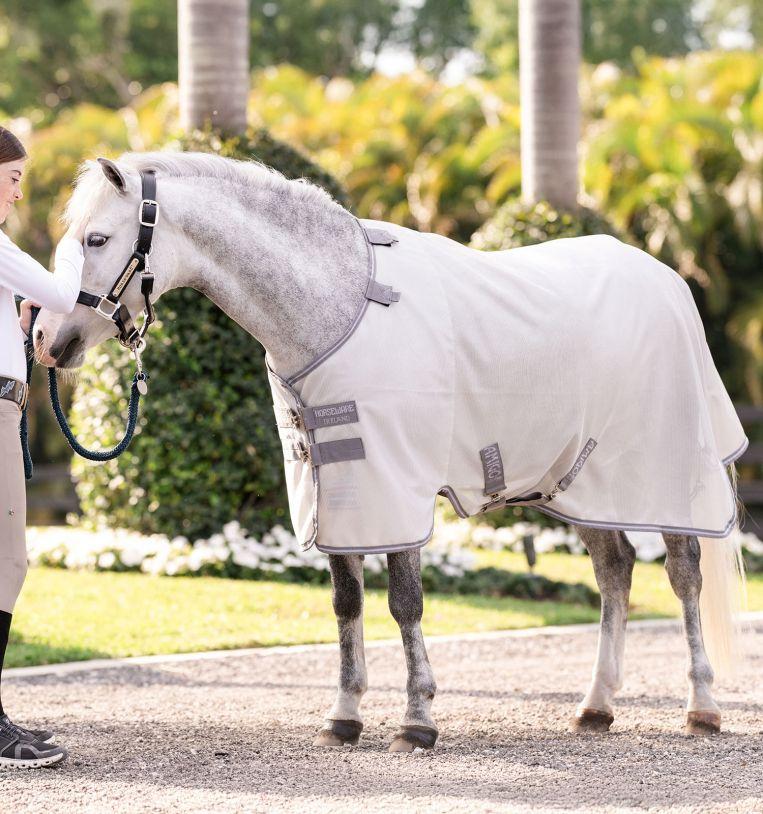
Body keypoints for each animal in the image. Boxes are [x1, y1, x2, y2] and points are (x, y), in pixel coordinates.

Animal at [34, 152, 745, 750]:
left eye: (97, 239)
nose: (46, 339)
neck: (339, 302)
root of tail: (668, 280)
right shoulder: (337, 486)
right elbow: (347, 604)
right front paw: (344, 716)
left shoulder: (395, 481)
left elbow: (404, 601)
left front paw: (417, 719)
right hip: (578, 483)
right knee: (614, 570)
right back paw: (596, 707)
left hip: (664, 474)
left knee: (683, 575)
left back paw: (702, 707)